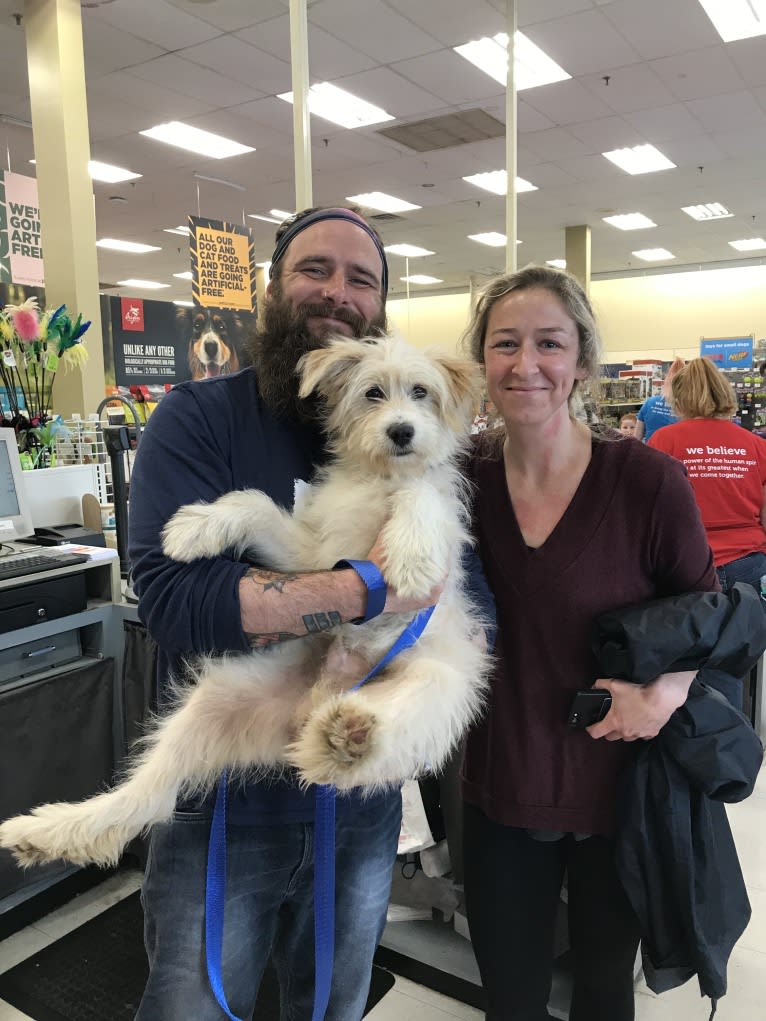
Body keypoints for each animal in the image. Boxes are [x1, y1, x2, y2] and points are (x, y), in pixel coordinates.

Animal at [0, 336, 492, 869]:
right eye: (373, 393)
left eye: (422, 392)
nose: (401, 431)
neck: (379, 479)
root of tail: (312, 704)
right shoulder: (315, 556)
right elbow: (254, 503)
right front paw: (193, 528)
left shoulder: (433, 510)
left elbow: (421, 492)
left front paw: (411, 555)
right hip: (213, 704)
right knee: (148, 794)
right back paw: (49, 831)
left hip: (439, 680)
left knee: (393, 722)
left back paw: (350, 732)